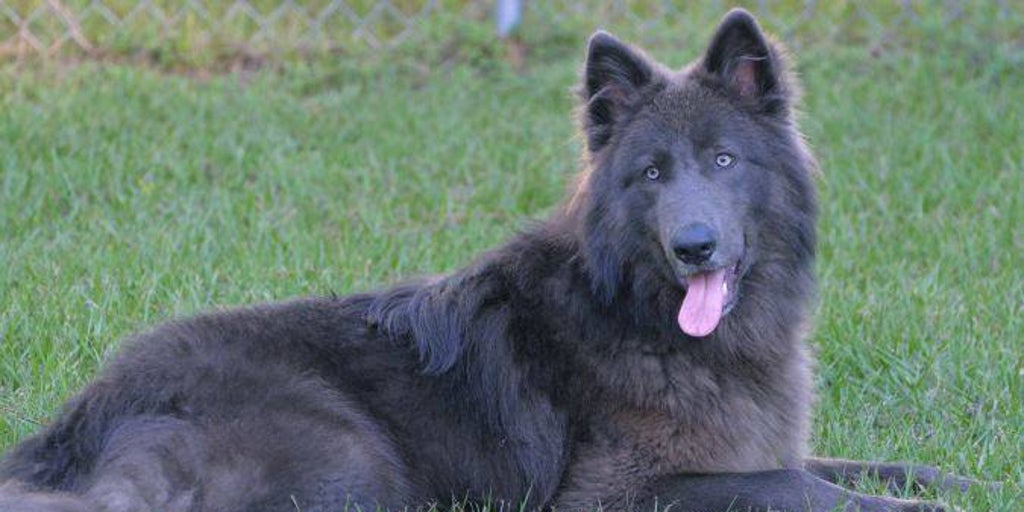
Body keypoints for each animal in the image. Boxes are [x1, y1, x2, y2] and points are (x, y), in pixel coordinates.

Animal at [0, 8, 974, 512]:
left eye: (725, 161)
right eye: (652, 174)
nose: (693, 244)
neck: (650, 321)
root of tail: (84, 422)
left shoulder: (757, 444)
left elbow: (856, 467)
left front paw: (961, 479)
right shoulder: (631, 491)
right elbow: (806, 489)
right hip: (356, 463)